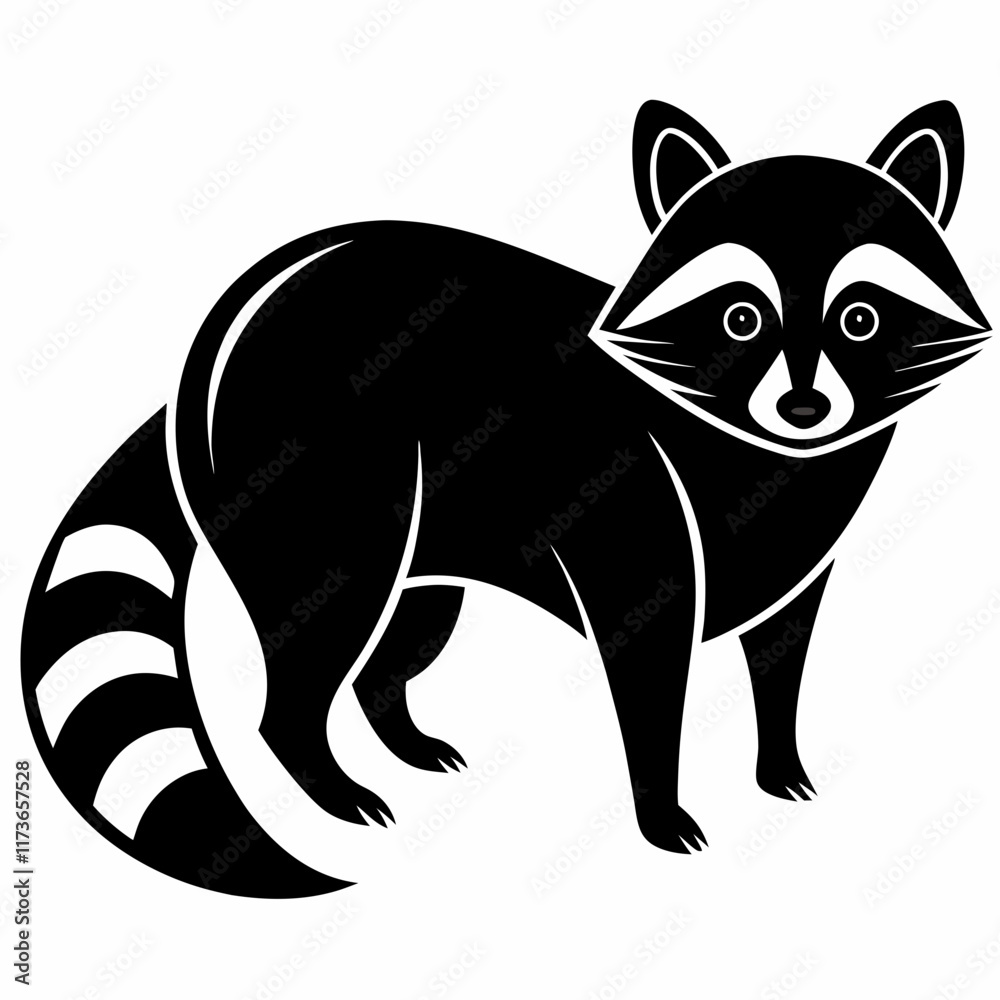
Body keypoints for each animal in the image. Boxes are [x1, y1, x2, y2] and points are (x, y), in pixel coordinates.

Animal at [21, 101, 989, 896]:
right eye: (741, 317)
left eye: (860, 317)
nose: (804, 408)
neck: (765, 453)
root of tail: (234, 311)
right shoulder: (630, 499)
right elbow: (649, 670)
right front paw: (662, 807)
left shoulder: (800, 542)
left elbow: (782, 650)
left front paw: (781, 762)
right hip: (325, 480)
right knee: (313, 648)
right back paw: (326, 775)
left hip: (433, 533)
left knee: (399, 643)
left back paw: (399, 732)